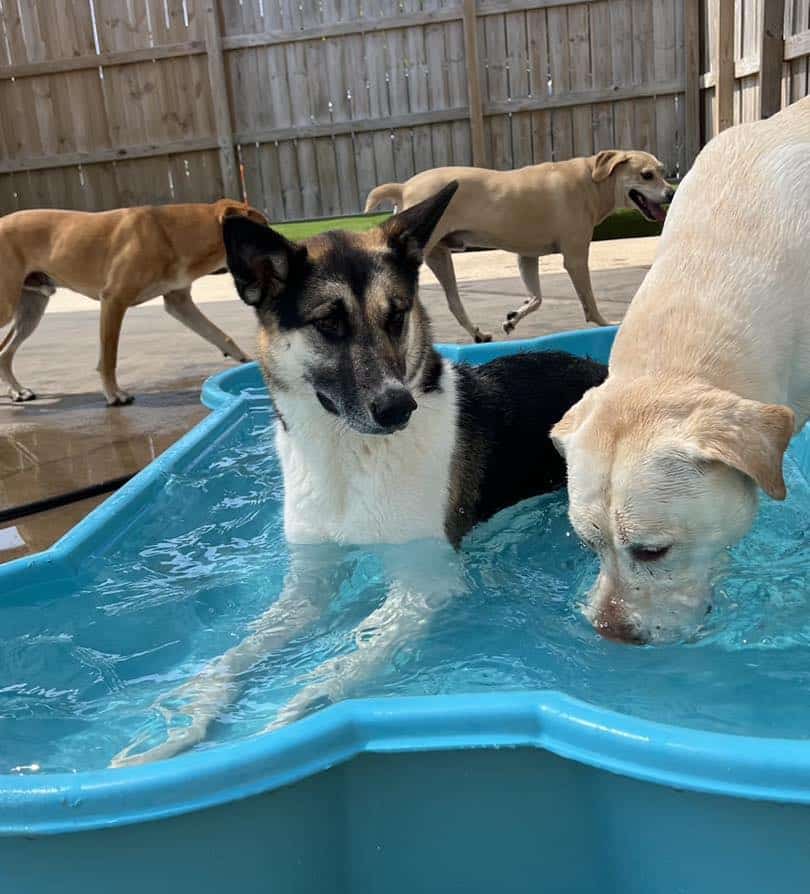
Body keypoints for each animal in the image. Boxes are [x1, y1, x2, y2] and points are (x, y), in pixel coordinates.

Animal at [113, 184, 608, 768]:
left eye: (396, 316)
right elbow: (235, 657)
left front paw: (271, 730)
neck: (347, 453)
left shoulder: (423, 585)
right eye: (329, 323)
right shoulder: (310, 582)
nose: (397, 408)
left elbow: (328, 675)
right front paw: (176, 727)